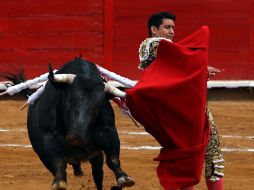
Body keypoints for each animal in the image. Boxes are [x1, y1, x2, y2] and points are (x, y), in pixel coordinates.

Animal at [18, 58, 134, 190]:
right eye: (69, 101)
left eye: (98, 106)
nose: (76, 138)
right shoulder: (49, 139)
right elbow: (58, 162)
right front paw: (59, 183)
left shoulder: (109, 133)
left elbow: (113, 158)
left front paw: (124, 178)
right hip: (42, 156)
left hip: (96, 156)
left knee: (98, 174)